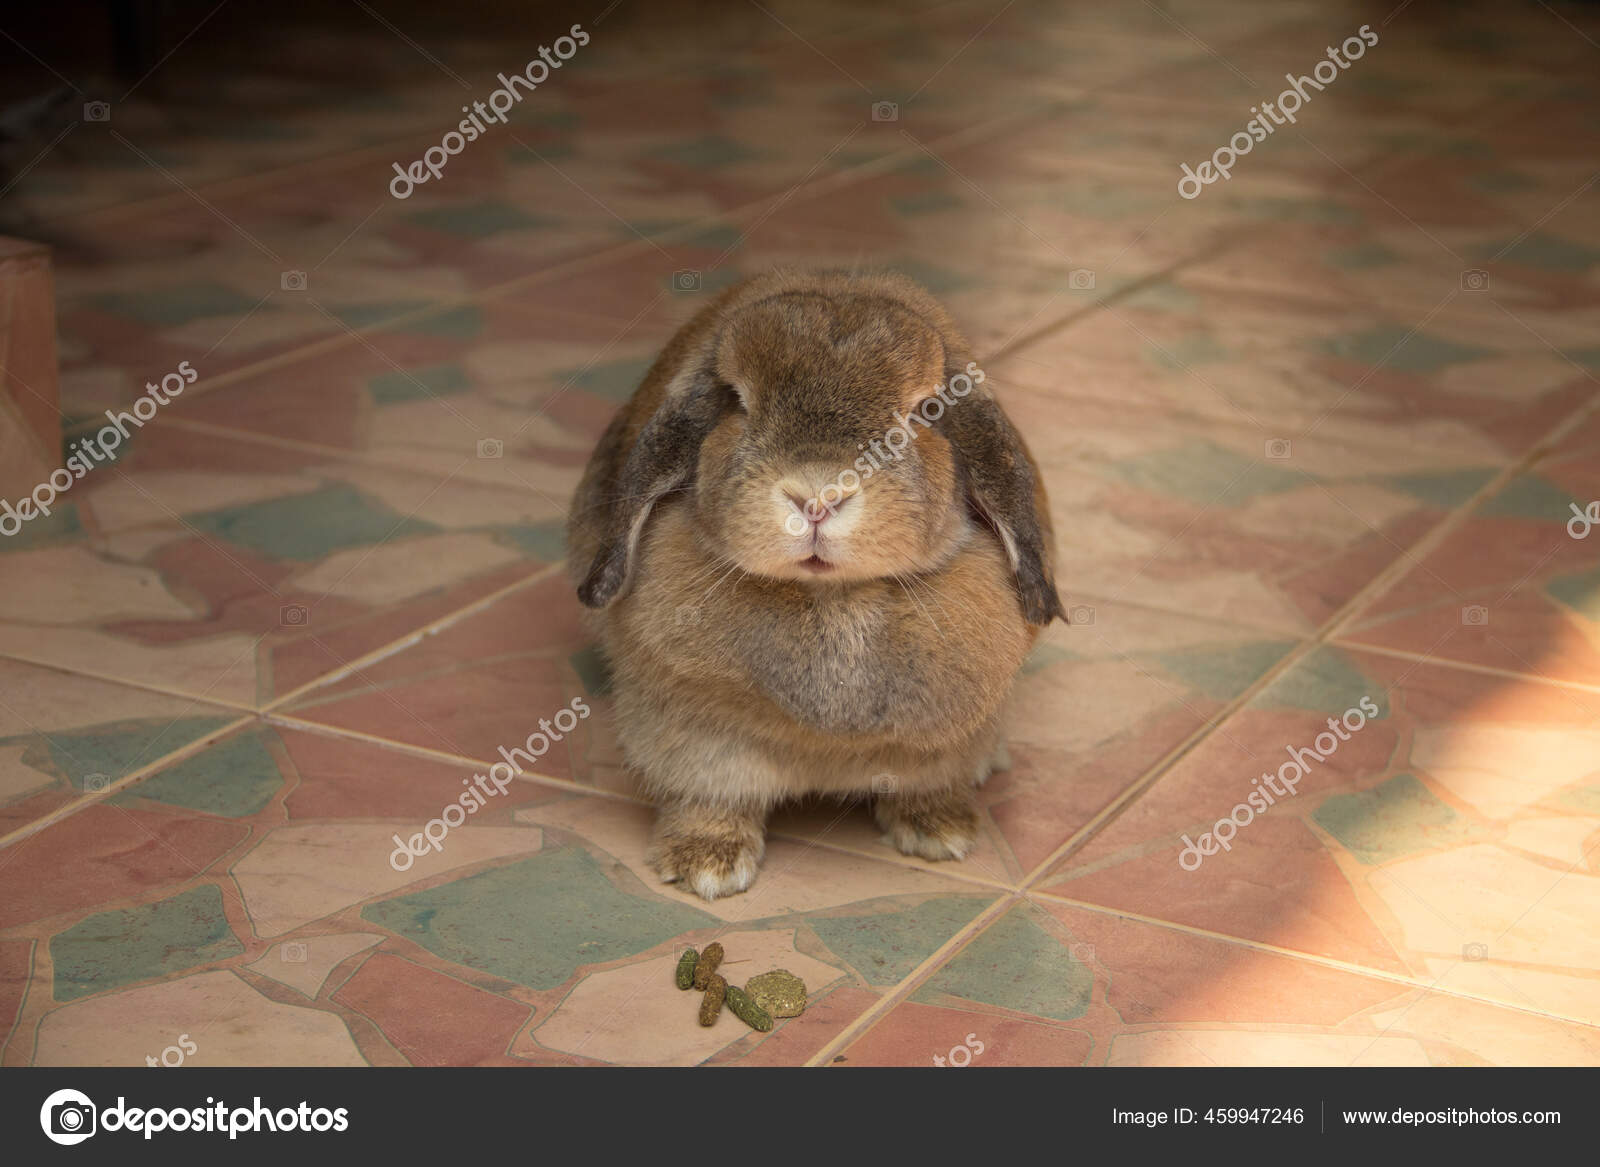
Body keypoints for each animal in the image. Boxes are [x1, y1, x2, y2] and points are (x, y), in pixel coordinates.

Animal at [566, 268, 1062, 896]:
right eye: (736, 402)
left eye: (925, 410)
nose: (818, 497)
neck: (834, 599)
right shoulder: (695, 735)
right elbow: (710, 796)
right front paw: (706, 864)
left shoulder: (939, 742)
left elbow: (926, 782)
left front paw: (939, 831)